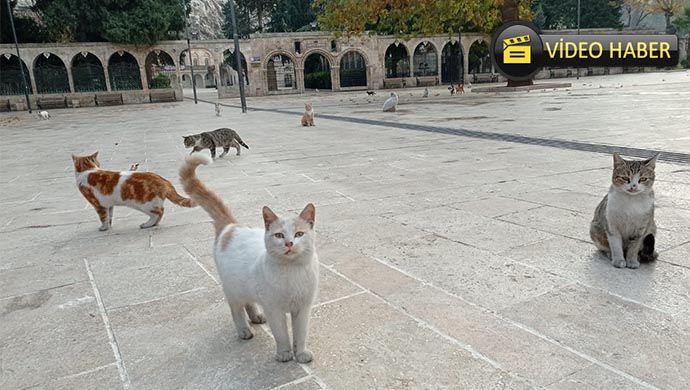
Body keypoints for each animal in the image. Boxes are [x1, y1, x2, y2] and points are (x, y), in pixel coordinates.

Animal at [177, 155, 318, 362]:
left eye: (299, 234)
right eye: (279, 235)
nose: (289, 243)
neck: (291, 271)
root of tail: (230, 226)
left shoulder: (302, 309)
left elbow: (301, 334)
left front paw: (300, 353)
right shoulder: (274, 310)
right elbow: (281, 334)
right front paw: (284, 353)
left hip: (246, 286)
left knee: (249, 302)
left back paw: (256, 317)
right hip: (232, 288)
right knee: (236, 308)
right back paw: (244, 330)